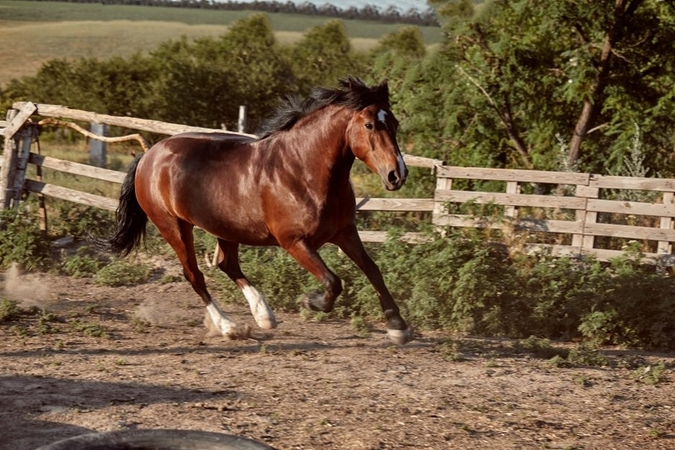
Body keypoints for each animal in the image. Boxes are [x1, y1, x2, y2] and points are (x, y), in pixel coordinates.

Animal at [105, 77, 412, 344]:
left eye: (395, 123)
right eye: (369, 125)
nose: (397, 175)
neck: (303, 170)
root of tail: (149, 154)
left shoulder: (344, 232)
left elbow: (372, 270)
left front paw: (398, 327)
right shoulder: (294, 242)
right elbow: (333, 281)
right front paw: (310, 302)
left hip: (225, 227)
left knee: (226, 264)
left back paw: (264, 315)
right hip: (174, 227)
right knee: (194, 275)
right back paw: (228, 326)